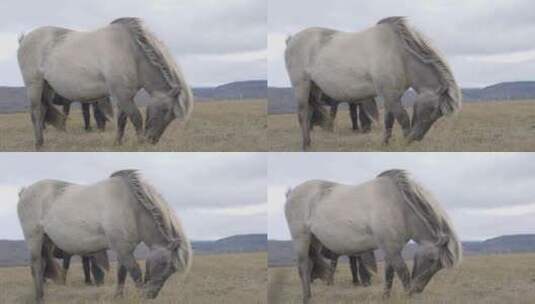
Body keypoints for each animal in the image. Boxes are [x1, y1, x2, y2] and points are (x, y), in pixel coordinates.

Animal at [17, 170, 192, 302]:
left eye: (172, 270)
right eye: (164, 264)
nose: (151, 295)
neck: (130, 207)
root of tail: (25, 191)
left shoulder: (124, 249)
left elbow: (121, 274)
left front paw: (118, 297)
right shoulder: (123, 249)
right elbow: (135, 273)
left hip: (46, 241)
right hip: (34, 239)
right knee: (36, 266)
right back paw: (39, 298)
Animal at [18, 17, 195, 149]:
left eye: (172, 116)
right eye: (166, 110)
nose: (152, 140)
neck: (131, 53)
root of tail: (24, 39)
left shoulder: (124, 96)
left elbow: (122, 119)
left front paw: (118, 143)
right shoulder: (121, 94)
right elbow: (136, 118)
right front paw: (139, 143)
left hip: (46, 88)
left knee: (43, 111)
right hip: (34, 85)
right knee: (36, 113)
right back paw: (38, 144)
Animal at [286, 16, 462, 150]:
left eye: (439, 114)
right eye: (433, 110)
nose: (416, 138)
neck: (398, 55)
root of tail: (291, 40)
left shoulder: (392, 96)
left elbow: (389, 121)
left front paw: (385, 144)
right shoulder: (390, 95)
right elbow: (403, 119)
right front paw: (405, 143)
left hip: (313, 88)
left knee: (309, 113)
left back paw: (308, 143)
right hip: (302, 86)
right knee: (303, 114)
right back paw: (305, 146)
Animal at [286, 170, 462, 302]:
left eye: (439, 266)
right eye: (432, 260)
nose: (418, 289)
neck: (399, 207)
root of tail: (291, 193)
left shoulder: (392, 249)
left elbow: (389, 274)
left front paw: (386, 298)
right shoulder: (391, 248)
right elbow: (403, 274)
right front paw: (408, 297)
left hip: (314, 242)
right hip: (301, 238)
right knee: (304, 267)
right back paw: (306, 298)